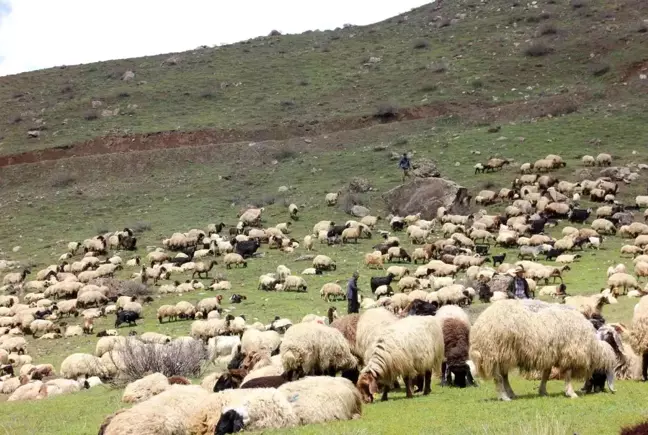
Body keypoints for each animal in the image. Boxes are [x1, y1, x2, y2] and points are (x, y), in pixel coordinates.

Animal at [470, 302, 616, 400]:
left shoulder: (550, 354)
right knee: (498, 377)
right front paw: (571, 393)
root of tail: (479, 326)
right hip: (494, 353)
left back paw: (511, 393)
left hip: (504, 354)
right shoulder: (569, 353)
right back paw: (504, 397)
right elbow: (568, 375)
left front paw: (543, 391)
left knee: (504, 376)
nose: (607, 390)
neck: (591, 345)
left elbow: (546, 374)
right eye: (603, 374)